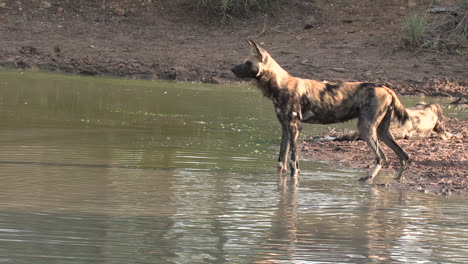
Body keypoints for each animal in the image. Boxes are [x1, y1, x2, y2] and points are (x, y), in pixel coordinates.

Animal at [230, 40, 410, 182]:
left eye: (248, 63)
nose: (231, 69)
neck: (278, 85)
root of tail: (386, 88)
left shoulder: (295, 128)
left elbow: (294, 162)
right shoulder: (285, 129)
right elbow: (281, 161)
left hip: (366, 129)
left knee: (382, 156)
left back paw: (368, 178)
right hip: (382, 132)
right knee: (404, 156)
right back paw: (397, 181)